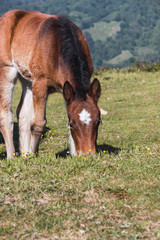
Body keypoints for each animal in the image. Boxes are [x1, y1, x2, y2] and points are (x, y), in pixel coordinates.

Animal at [0, 10, 100, 158]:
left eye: (98, 121)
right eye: (72, 123)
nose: (87, 154)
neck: (57, 46)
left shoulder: (66, 89)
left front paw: (74, 154)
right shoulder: (41, 84)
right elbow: (38, 123)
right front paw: (33, 154)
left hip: (28, 80)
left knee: (23, 114)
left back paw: (24, 154)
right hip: (7, 71)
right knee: (7, 115)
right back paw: (12, 156)